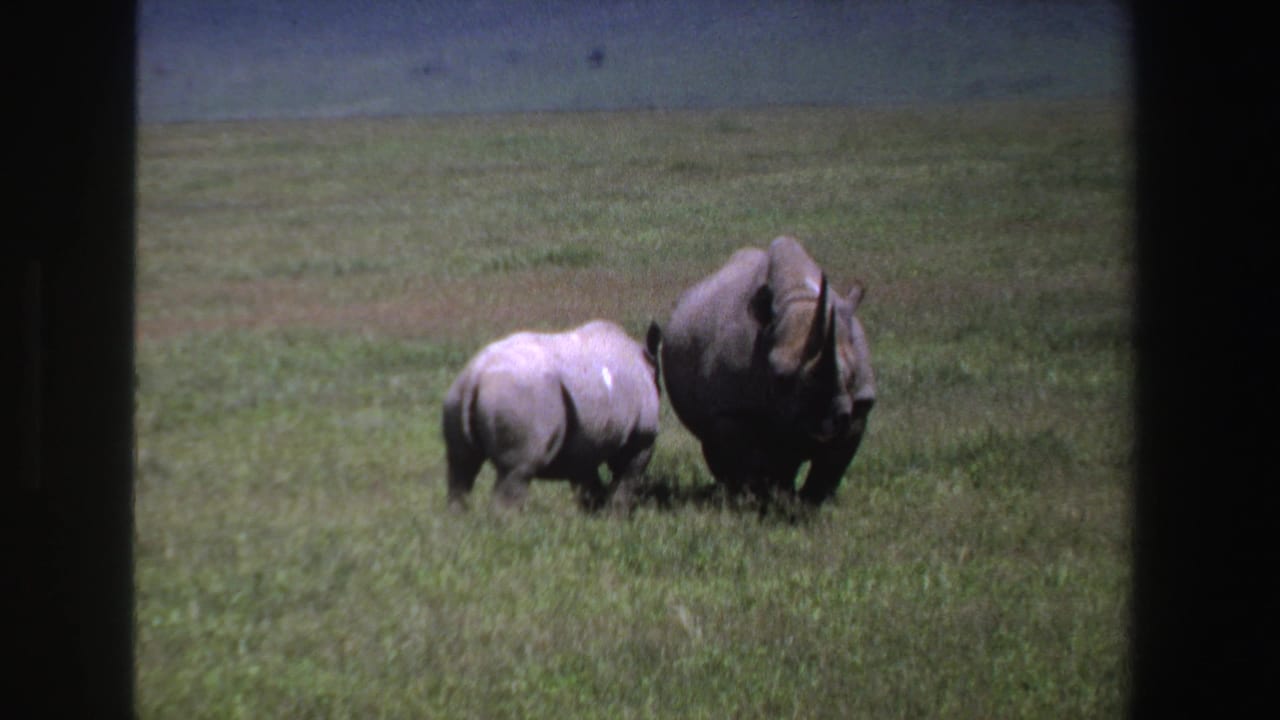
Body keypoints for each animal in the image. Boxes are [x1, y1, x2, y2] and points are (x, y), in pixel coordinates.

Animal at [442, 320, 662, 512]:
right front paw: (615, 518)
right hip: (519, 396)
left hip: (457, 397)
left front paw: (593, 517)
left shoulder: (586, 441)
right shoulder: (642, 437)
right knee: (516, 471)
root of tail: (476, 375)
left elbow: (588, 483)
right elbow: (625, 479)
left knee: (461, 467)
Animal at [662, 236, 875, 505]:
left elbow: (830, 467)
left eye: (852, 376)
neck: (799, 297)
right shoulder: (732, 408)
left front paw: (811, 505)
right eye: (780, 378)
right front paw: (757, 502)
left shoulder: (859, 406)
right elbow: (749, 462)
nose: (826, 421)